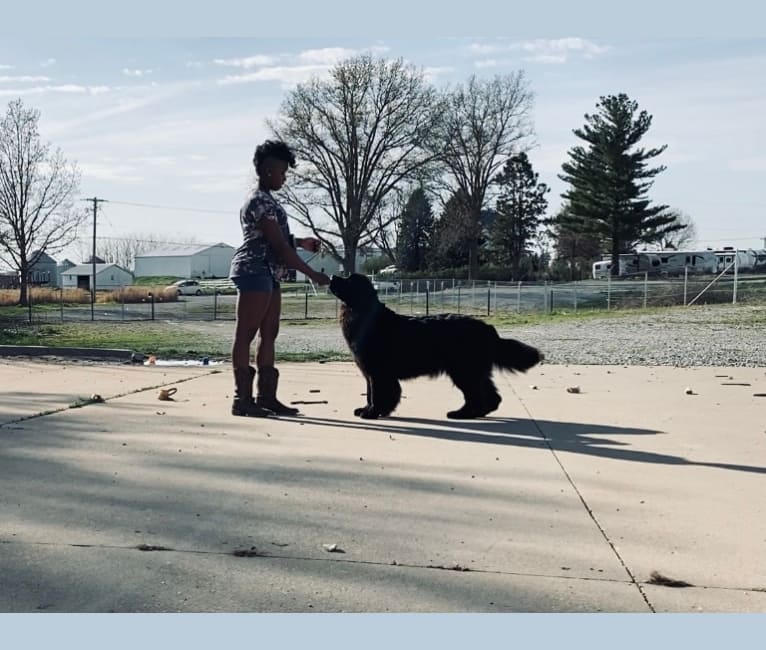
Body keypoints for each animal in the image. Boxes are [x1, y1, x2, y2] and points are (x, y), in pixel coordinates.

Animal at [332, 272, 544, 416]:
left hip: (463, 370)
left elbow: (377, 393)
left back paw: (460, 414)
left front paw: (372, 413)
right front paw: (367, 409)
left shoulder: (377, 371)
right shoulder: (368, 371)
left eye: (348, 280)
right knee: (491, 396)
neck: (363, 315)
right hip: (473, 370)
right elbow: (370, 393)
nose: (333, 275)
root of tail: (487, 327)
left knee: (475, 396)